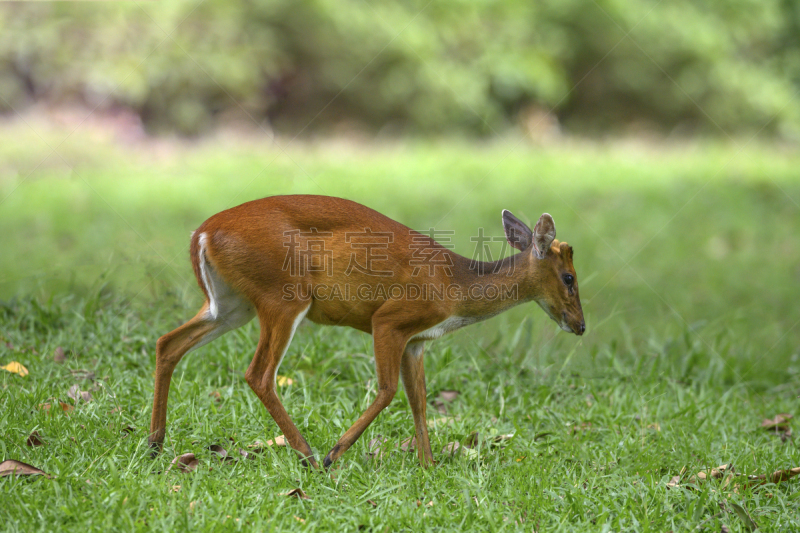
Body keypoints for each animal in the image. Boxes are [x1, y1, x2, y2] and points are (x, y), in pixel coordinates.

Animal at [150, 194, 584, 466]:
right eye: (569, 278)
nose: (580, 325)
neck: (455, 287)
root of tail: (203, 232)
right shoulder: (390, 319)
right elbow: (389, 390)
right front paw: (335, 453)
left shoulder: (417, 341)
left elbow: (419, 400)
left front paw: (429, 464)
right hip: (283, 296)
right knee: (258, 374)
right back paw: (310, 456)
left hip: (229, 304)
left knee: (167, 342)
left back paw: (155, 444)